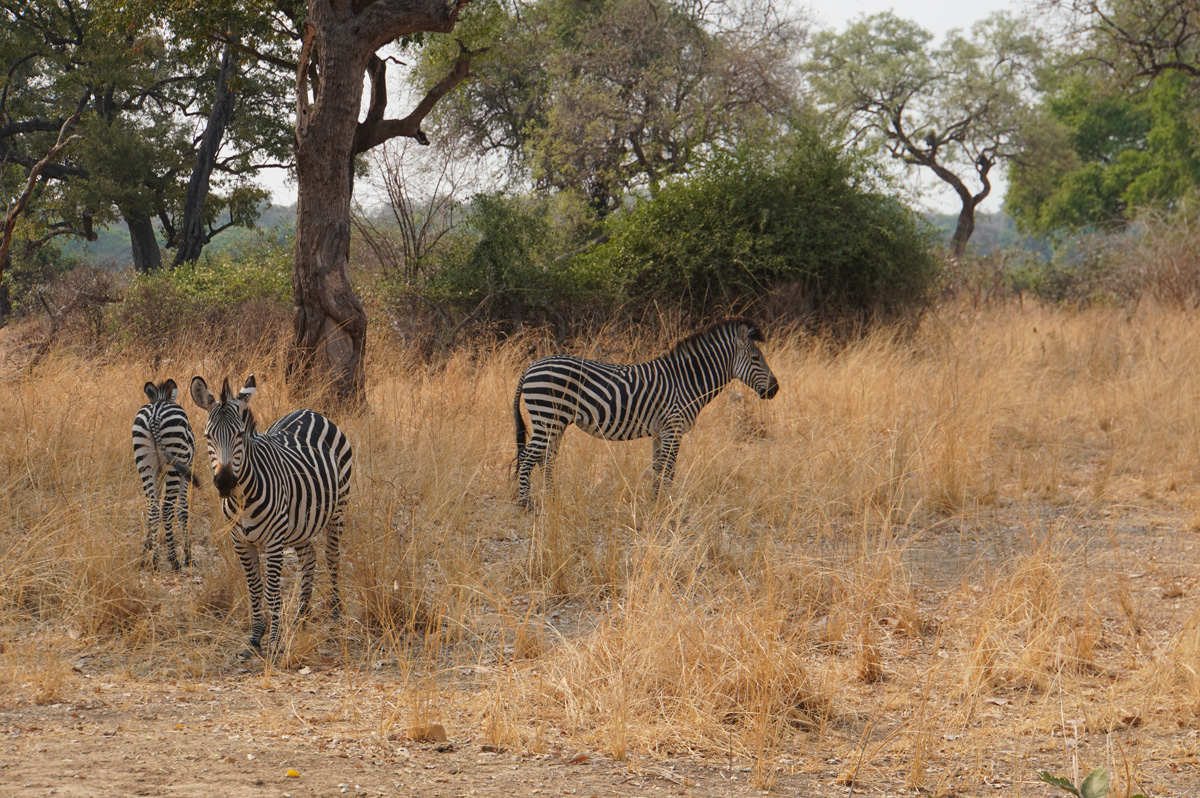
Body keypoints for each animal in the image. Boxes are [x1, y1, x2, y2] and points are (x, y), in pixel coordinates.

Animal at [133, 379, 201, 570]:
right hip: (174, 462)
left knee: (153, 507)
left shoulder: (158, 473)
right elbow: (183, 509)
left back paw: (154, 559)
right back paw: (172, 559)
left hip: (145, 463)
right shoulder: (185, 471)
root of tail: (155, 413)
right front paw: (188, 555)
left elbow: (154, 502)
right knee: (166, 509)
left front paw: (146, 547)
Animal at [189, 374, 353, 659]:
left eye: (239, 434)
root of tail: (311, 411)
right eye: (208, 436)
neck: (242, 499)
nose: (224, 482)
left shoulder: (275, 541)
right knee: (309, 557)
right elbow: (255, 589)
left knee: (332, 557)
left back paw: (334, 613)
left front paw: (275, 642)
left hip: (337, 510)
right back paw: (301, 617)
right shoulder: (240, 542)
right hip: (300, 523)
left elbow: (272, 591)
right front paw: (256, 638)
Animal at [512, 319, 779, 508]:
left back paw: (553, 499)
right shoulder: (673, 427)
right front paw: (667, 504)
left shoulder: (661, 431)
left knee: (546, 459)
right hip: (546, 417)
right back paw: (526, 504)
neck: (686, 382)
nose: (775, 389)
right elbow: (669, 469)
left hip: (555, 422)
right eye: (756, 358)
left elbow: (658, 467)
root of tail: (530, 367)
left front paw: (655, 502)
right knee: (527, 458)